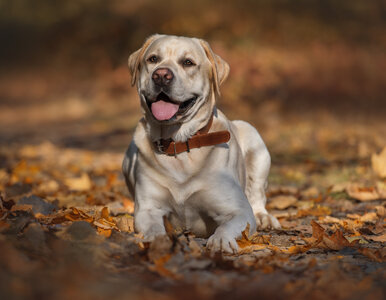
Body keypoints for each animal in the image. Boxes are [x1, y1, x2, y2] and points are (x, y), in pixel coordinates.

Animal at [122, 34, 278, 252]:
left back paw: (265, 217)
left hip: (255, 141)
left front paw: (220, 241)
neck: (179, 144)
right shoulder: (148, 209)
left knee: (257, 194)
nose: (161, 75)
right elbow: (154, 227)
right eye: (153, 59)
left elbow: (227, 226)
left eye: (188, 62)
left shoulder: (238, 211)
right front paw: (157, 241)